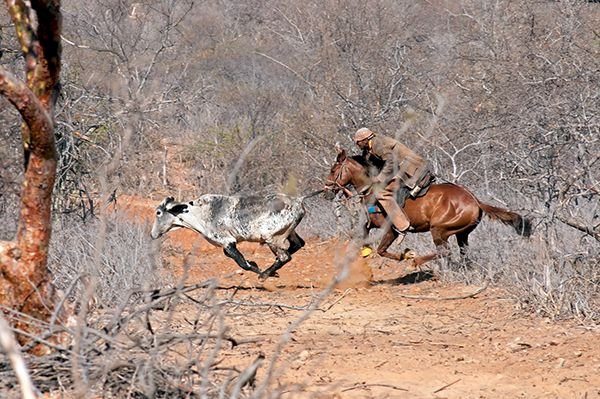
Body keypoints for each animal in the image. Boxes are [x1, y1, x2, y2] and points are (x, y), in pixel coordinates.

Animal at [326, 148, 532, 268]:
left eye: (334, 170)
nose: (327, 189)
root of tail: (475, 201)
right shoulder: (367, 225)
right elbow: (361, 240)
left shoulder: (391, 229)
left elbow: (382, 250)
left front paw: (406, 255)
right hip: (461, 234)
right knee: (463, 253)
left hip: (439, 229)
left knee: (445, 252)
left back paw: (416, 260)